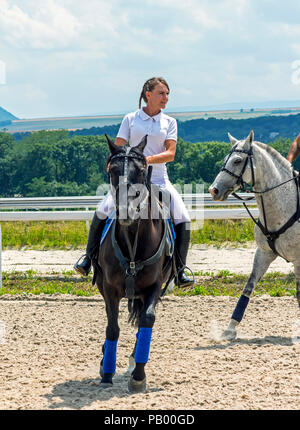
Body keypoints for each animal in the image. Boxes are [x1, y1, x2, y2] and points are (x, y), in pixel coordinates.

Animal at [93, 135, 173, 394]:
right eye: (112, 170)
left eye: (140, 170)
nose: (125, 211)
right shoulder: (109, 288)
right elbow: (112, 327)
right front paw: (106, 372)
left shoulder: (155, 286)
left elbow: (146, 320)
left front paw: (138, 375)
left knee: (141, 324)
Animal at [209, 130, 300, 340]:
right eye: (225, 159)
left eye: (237, 160)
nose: (213, 190)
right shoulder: (264, 253)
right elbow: (248, 287)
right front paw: (230, 329)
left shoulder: (299, 260)